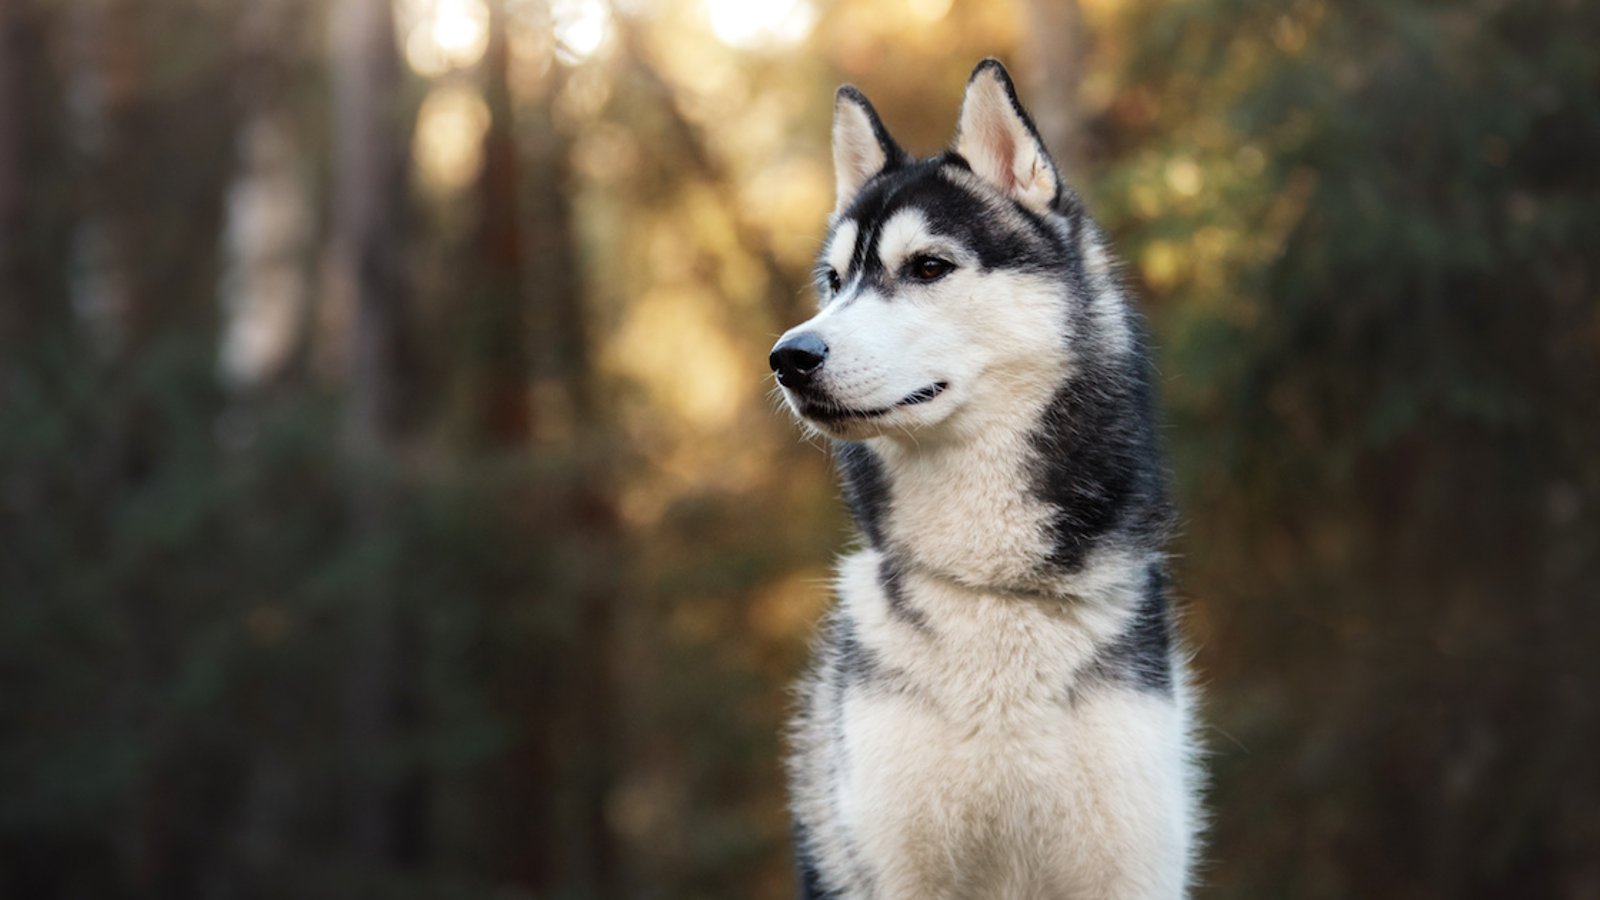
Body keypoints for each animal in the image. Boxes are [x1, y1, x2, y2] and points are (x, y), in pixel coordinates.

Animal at [764, 59, 1203, 890]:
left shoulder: (1130, 861)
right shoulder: (899, 865)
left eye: (928, 267)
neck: (995, 588)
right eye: (833, 282)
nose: (789, 357)